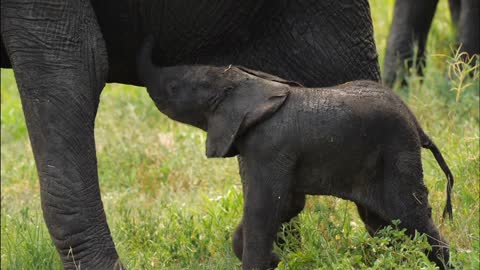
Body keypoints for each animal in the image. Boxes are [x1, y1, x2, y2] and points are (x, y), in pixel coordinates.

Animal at [136, 40, 454, 270]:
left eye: (173, 87)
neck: (247, 84)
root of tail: (418, 125)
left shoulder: (269, 147)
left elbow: (263, 208)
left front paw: (268, 261)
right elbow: (287, 204)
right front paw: (277, 259)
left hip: (397, 154)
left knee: (411, 216)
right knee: (381, 223)